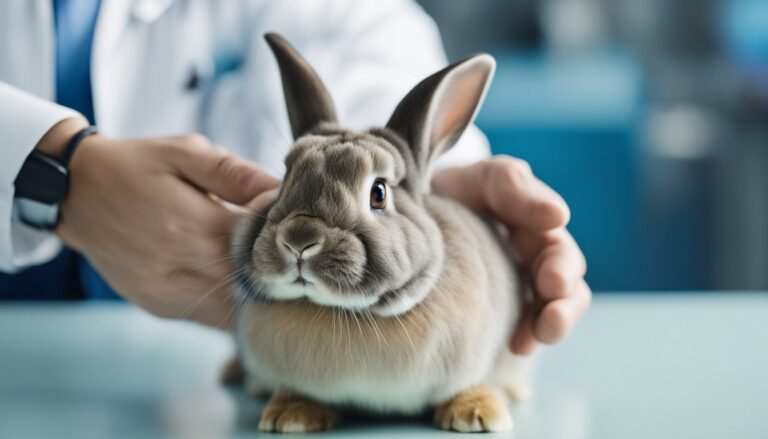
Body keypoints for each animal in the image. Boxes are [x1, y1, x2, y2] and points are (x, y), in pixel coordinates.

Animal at [229, 32, 532, 434]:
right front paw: (289, 416)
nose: (298, 240)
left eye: (378, 193)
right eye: (284, 180)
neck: (350, 314)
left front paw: (476, 414)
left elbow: (473, 382)